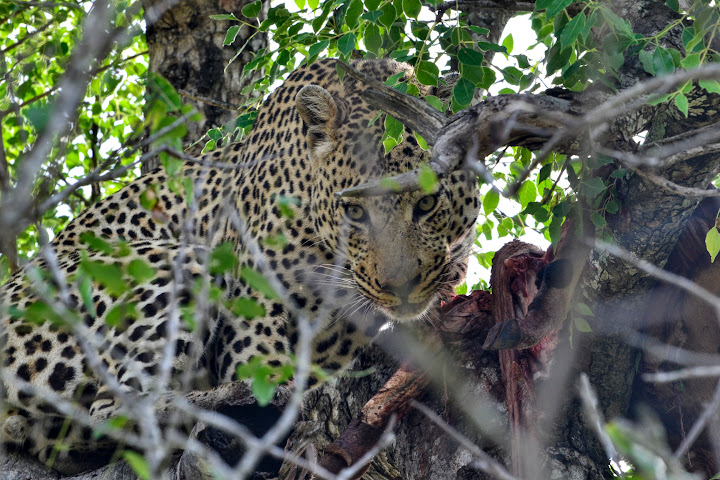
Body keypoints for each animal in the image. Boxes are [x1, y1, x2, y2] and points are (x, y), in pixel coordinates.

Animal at [1, 58, 484, 474]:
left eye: (427, 203)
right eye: (355, 212)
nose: (400, 286)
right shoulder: (255, 314)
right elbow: (263, 362)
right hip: (174, 266)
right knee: (117, 413)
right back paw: (223, 405)